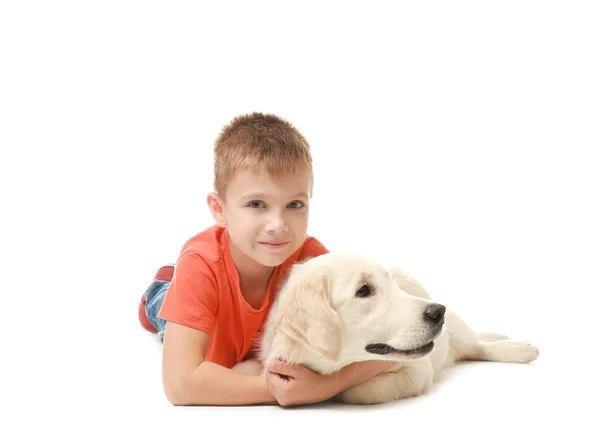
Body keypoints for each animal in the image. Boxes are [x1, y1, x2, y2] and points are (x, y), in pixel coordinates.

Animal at [231, 254, 540, 404]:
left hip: (456, 328)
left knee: (477, 345)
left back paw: (518, 348)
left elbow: (354, 391)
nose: (437, 312)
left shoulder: (418, 369)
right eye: (363, 290)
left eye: (391, 283)